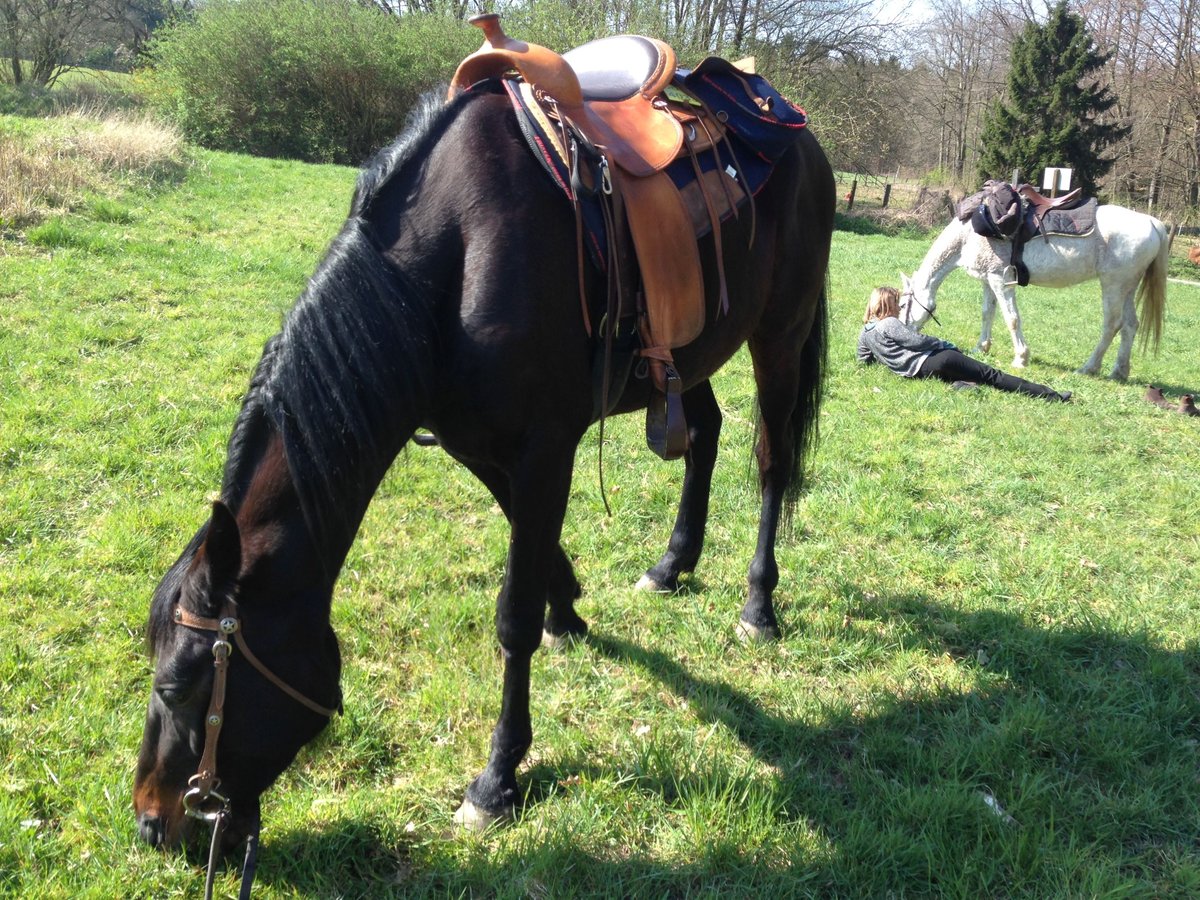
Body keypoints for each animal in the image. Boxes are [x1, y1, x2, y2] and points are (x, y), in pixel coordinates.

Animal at [129, 82, 835, 873]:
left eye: (177, 685)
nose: (151, 824)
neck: (453, 261)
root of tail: (799, 135)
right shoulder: (481, 445)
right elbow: (538, 553)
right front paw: (570, 612)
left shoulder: (545, 448)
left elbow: (513, 616)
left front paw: (498, 778)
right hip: (687, 355)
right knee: (705, 436)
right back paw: (672, 564)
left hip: (780, 334)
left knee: (772, 462)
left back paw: (758, 603)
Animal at [902, 205, 1166, 381]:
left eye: (904, 305)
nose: (904, 332)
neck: (969, 235)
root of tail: (1152, 222)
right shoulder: (988, 280)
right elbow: (987, 313)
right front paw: (981, 347)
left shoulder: (1001, 281)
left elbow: (1011, 319)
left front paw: (1021, 358)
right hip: (1127, 288)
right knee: (1130, 326)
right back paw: (1119, 372)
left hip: (1113, 286)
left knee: (1112, 326)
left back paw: (1088, 368)